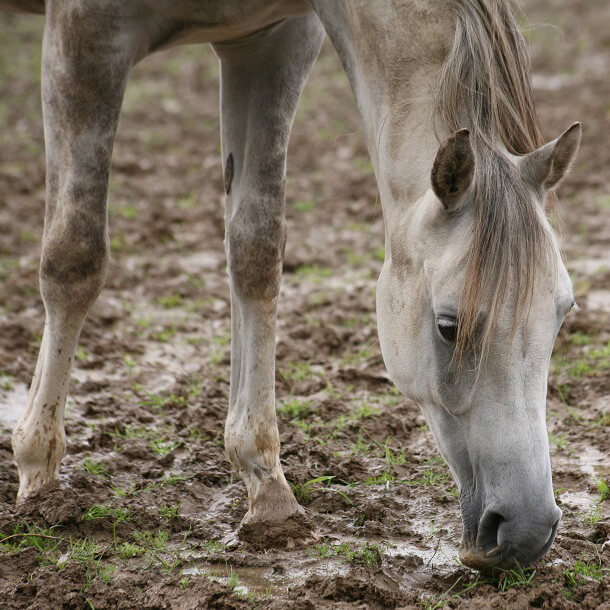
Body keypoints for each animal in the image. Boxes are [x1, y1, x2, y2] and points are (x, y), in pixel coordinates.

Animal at [3, 0, 580, 568]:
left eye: (563, 314)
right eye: (447, 326)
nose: (528, 531)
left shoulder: (270, 43)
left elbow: (256, 252)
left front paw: (269, 496)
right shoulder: (85, 37)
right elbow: (73, 258)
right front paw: (38, 476)